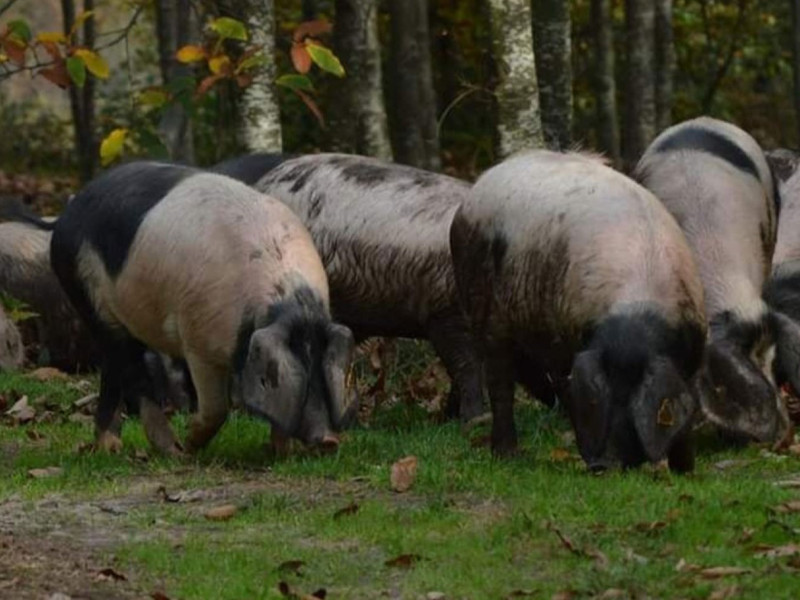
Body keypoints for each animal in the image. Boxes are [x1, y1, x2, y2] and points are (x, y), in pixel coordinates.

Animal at [10, 163, 354, 454]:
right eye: (300, 363)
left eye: (319, 361)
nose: (329, 440)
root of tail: (65, 216)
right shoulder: (197, 340)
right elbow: (216, 407)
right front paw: (191, 444)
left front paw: (283, 451)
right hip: (87, 294)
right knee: (131, 372)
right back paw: (169, 450)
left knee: (113, 368)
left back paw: (110, 447)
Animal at [450, 150, 708, 474]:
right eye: (603, 395)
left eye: (634, 399)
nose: (604, 464)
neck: (637, 303)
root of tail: (471, 197)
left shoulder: (694, 355)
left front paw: (685, 470)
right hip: (484, 307)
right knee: (500, 383)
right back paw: (508, 455)